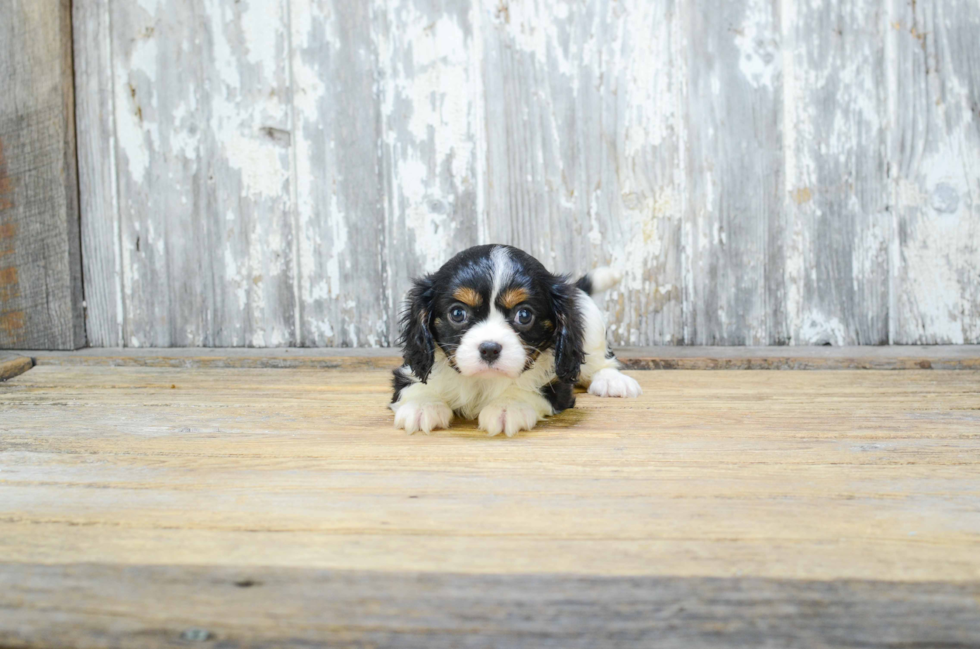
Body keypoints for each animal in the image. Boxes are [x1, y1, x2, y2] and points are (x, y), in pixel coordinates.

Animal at [390, 243, 644, 436]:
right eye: (458, 313)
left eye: (524, 315)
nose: (489, 349)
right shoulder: (410, 369)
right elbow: (415, 385)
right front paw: (423, 405)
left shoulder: (556, 384)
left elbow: (531, 389)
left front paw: (508, 406)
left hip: (590, 326)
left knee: (600, 361)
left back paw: (612, 380)